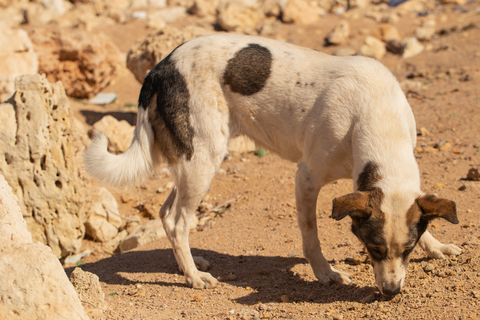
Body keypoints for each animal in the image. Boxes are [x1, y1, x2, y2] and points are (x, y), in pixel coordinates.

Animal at [85, 33, 462, 296]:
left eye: (408, 250)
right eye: (373, 249)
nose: (391, 292)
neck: (376, 114)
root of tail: (160, 67)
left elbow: (421, 214)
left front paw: (436, 246)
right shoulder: (306, 178)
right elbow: (311, 238)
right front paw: (326, 273)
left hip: (191, 161)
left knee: (165, 213)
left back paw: (188, 264)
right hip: (204, 158)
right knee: (178, 220)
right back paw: (194, 276)